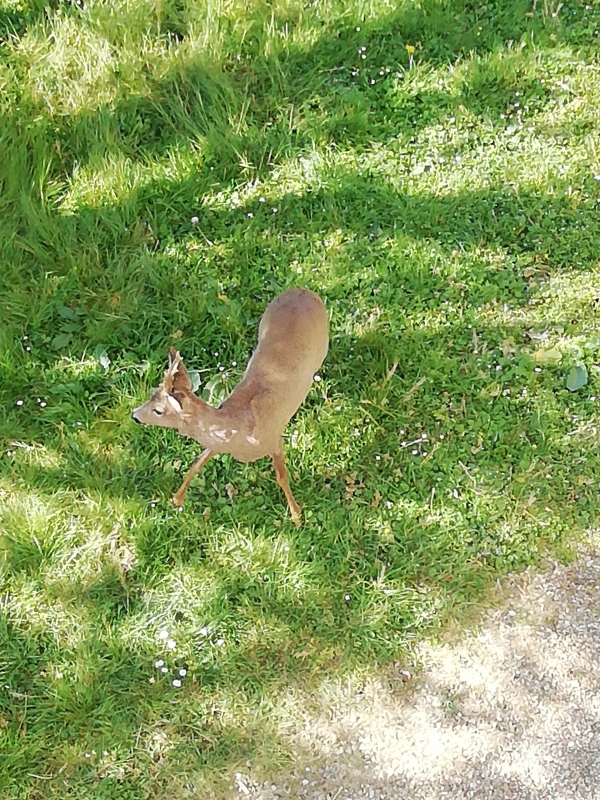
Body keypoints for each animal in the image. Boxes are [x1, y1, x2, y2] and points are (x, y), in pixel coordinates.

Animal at [131, 288, 328, 524]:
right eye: (151, 395)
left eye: (158, 410)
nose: (134, 415)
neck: (240, 429)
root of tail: (303, 291)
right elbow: (198, 461)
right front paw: (177, 499)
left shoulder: (273, 438)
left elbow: (281, 476)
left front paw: (297, 516)